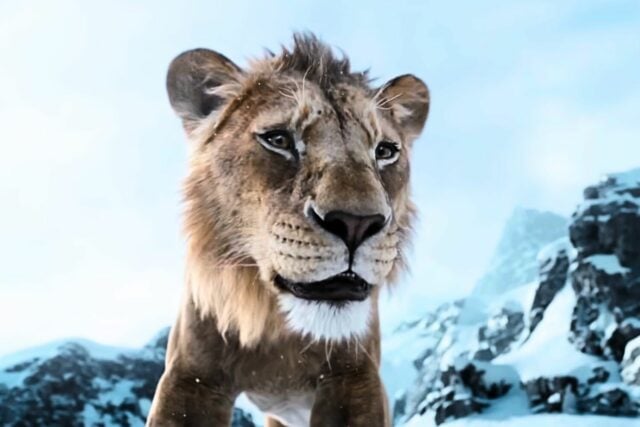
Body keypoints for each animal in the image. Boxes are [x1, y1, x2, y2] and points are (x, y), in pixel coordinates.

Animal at [147, 33, 429, 427]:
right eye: (278, 140)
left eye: (385, 151)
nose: (357, 223)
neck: (281, 340)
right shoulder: (191, 377)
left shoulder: (356, 377)